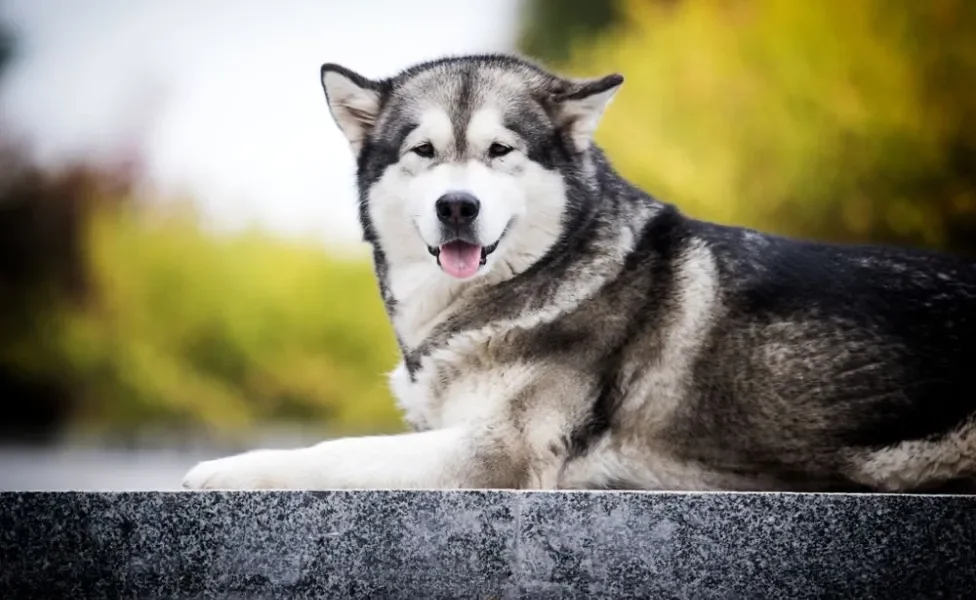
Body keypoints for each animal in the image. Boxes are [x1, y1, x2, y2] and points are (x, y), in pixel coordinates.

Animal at [183, 52, 976, 492]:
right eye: (424, 151)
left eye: (501, 150)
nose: (457, 206)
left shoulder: (499, 451)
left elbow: (341, 451)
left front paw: (230, 469)